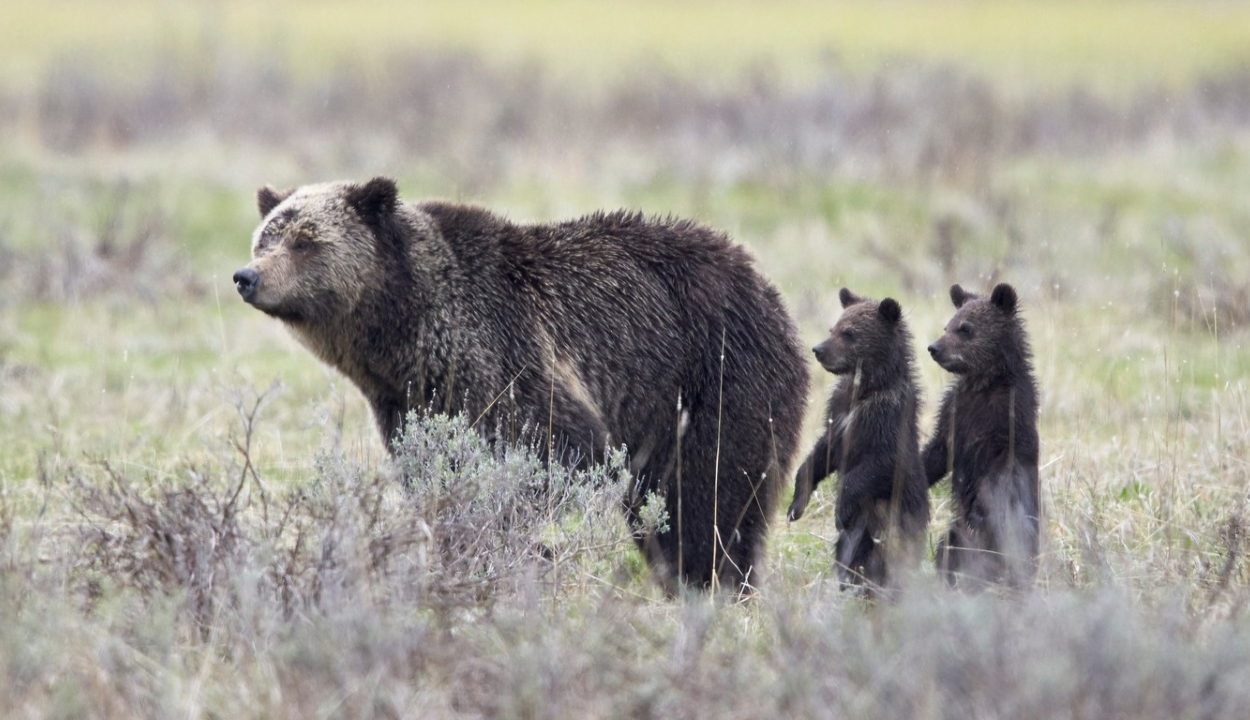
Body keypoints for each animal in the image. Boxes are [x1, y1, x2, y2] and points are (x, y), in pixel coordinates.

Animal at [235, 177, 810, 592]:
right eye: (266, 237)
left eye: (305, 241)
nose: (247, 276)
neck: (404, 331)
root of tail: (767, 287)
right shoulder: (408, 401)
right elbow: (434, 471)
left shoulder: (502, 354)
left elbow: (554, 446)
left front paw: (512, 548)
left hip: (716, 376)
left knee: (707, 494)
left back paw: (712, 580)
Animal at [790, 288, 930, 595]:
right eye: (833, 328)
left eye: (850, 333)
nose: (818, 349)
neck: (864, 388)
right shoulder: (839, 416)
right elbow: (821, 454)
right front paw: (795, 506)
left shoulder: (884, 420)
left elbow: (878, 465)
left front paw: (840, 509)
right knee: (848, 555)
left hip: (891, 524)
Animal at [925, 281, 1040, 590]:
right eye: (948, 325)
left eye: (965, 328)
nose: (934, 347)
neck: (983, 384)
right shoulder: (955, 413)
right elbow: (936, 452)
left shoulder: (1007, 422)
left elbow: (999, 474)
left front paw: (979, 510)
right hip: (957, 536)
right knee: (948, 547)